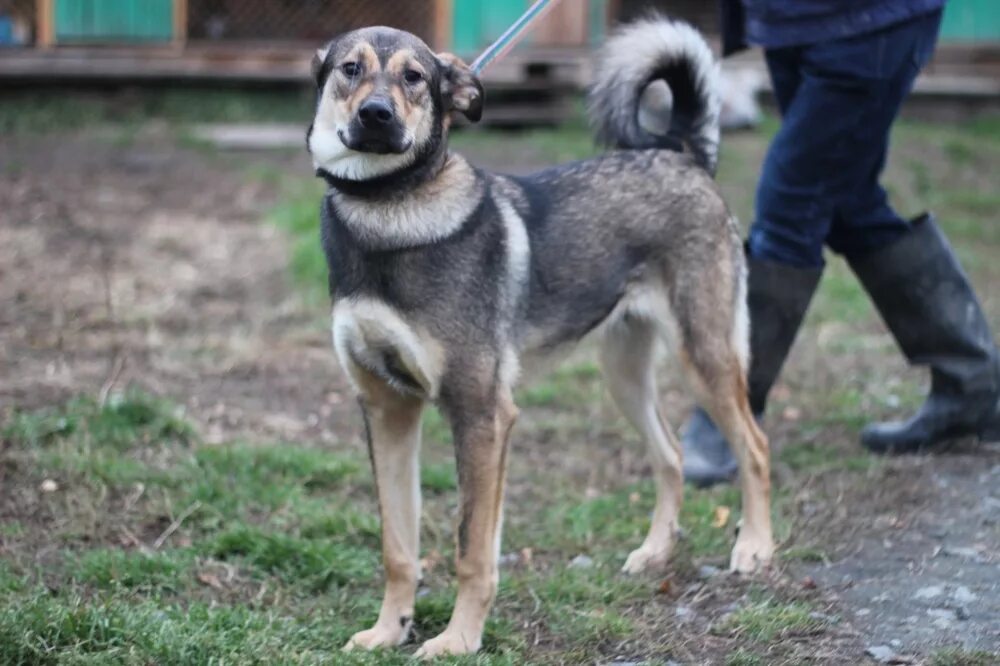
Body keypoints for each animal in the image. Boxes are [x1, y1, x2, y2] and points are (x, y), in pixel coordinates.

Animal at [304, 16, 772, 660]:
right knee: (671, 454)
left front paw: (459, 640)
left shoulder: (481, 414)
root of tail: (682, 156)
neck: (386, 213)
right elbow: (398, 547)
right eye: (350, 69)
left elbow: (472, 548)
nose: (377, 114)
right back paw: (655, 553)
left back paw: (754, 547)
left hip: (705, 358)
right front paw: (388, 630)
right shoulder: (385, 408)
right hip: (624, 374)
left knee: (755, 447)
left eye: (415, 77)